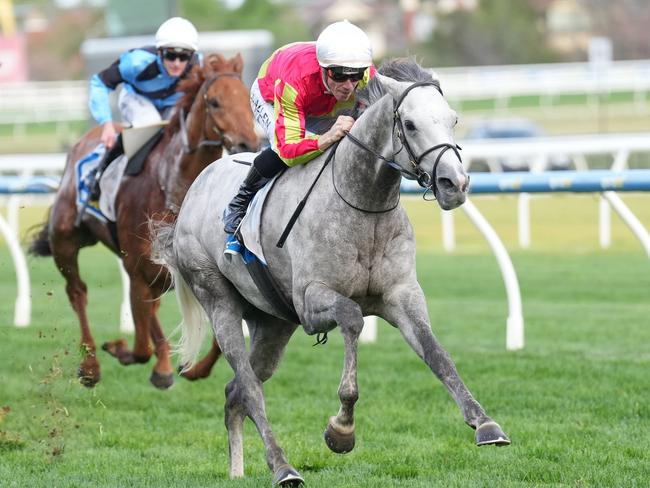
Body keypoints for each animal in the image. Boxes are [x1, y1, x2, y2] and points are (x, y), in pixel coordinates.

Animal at [28, 53, 256, 388]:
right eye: (214, 102)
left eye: (247, 99)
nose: (248, 143)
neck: (172, 185)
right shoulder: (136, 267)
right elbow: (139, 348)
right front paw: (121, 350)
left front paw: (192, 368)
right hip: (66, 240)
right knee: (78, 292)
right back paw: (91, 366)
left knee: (150, 308)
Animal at [154, 59, 508, 486]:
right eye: (409, 124)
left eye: (453, 119)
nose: (454, 184)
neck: (364, 203)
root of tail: (194, 189)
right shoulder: (311, 303)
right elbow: (353, 318)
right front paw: (341, 430)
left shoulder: (402, 295)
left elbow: (438, 355)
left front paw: (485, 423)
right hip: (218, 300)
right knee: (251, 390)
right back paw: (283, 466)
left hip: (272, 324)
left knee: (234, 392)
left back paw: (238, 471)